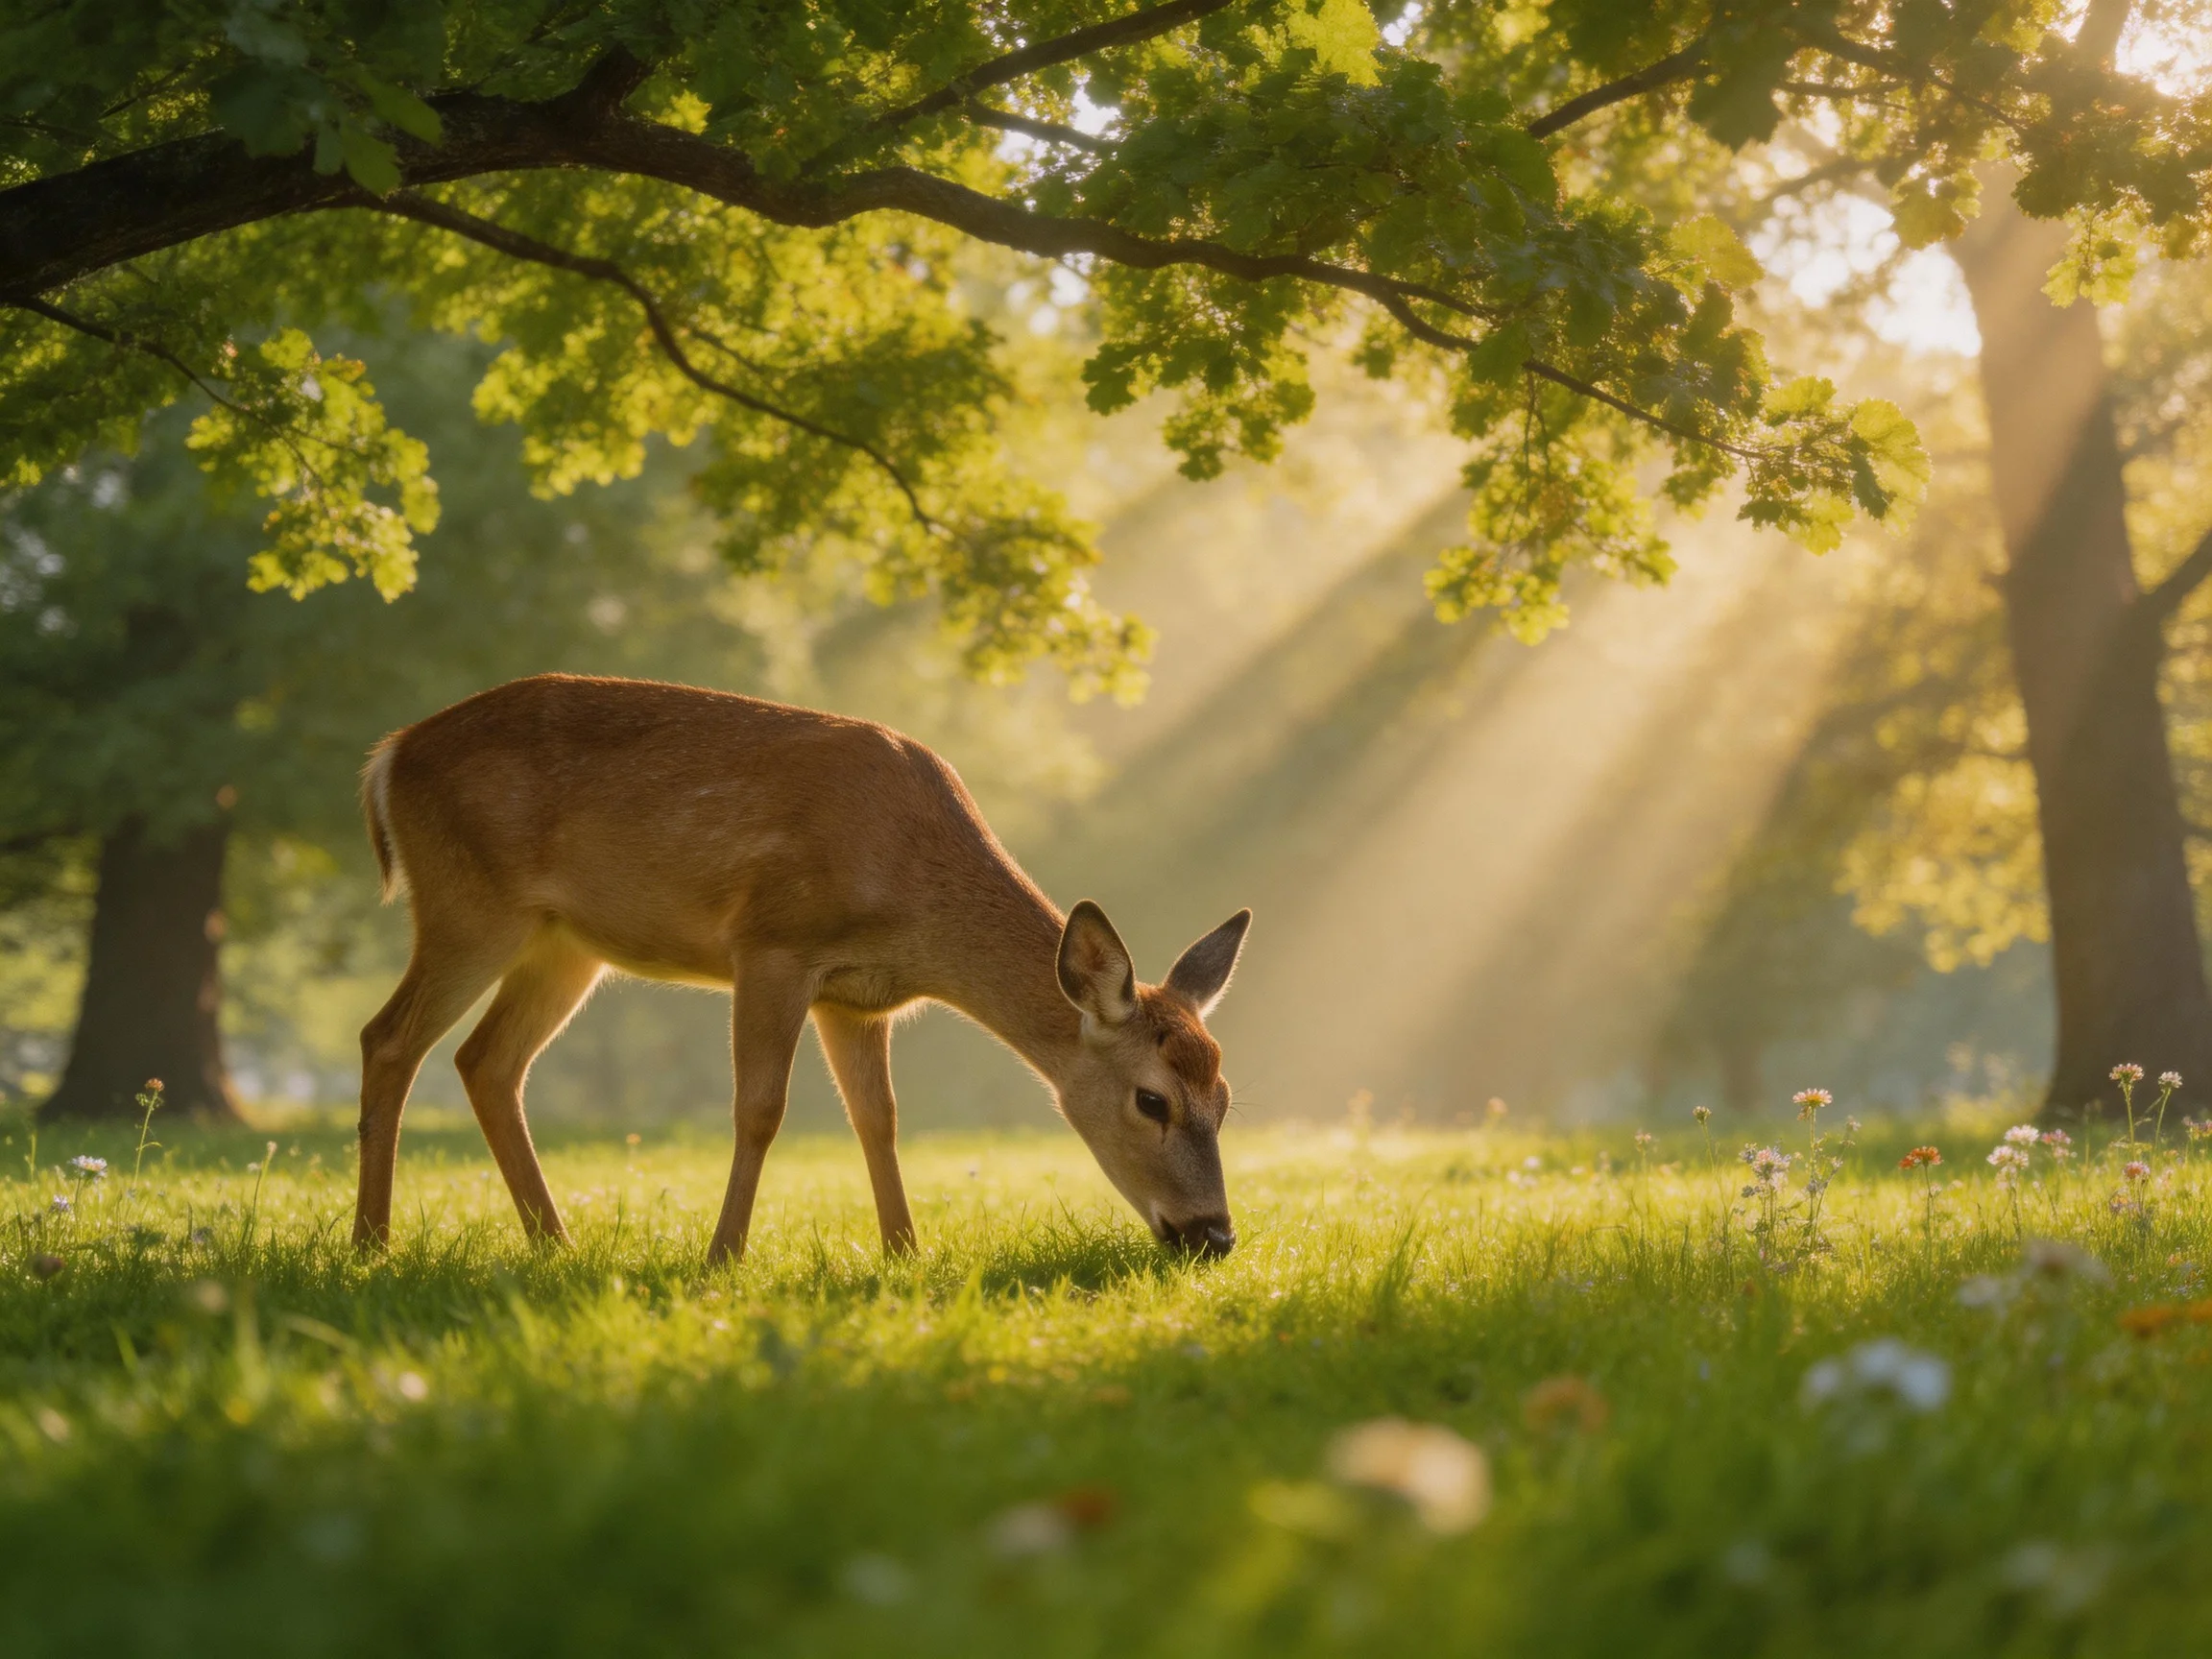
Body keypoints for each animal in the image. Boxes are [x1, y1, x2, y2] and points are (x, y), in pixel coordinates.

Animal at [353, 673, 1252, 1265]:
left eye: (1225, 1097)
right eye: (1152, 1100)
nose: (1214, 1235)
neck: (913, 900)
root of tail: (387, 757)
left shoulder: (857, 1000)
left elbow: (878, 1118)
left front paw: (904, 1253)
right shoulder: (773, 944)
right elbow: (760, 1109)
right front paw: (722, 1257)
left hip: (565, 944)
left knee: (486, 1061)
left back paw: (555, 1244)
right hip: (469, 903)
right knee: (388, 1038)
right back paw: (373, 1245)